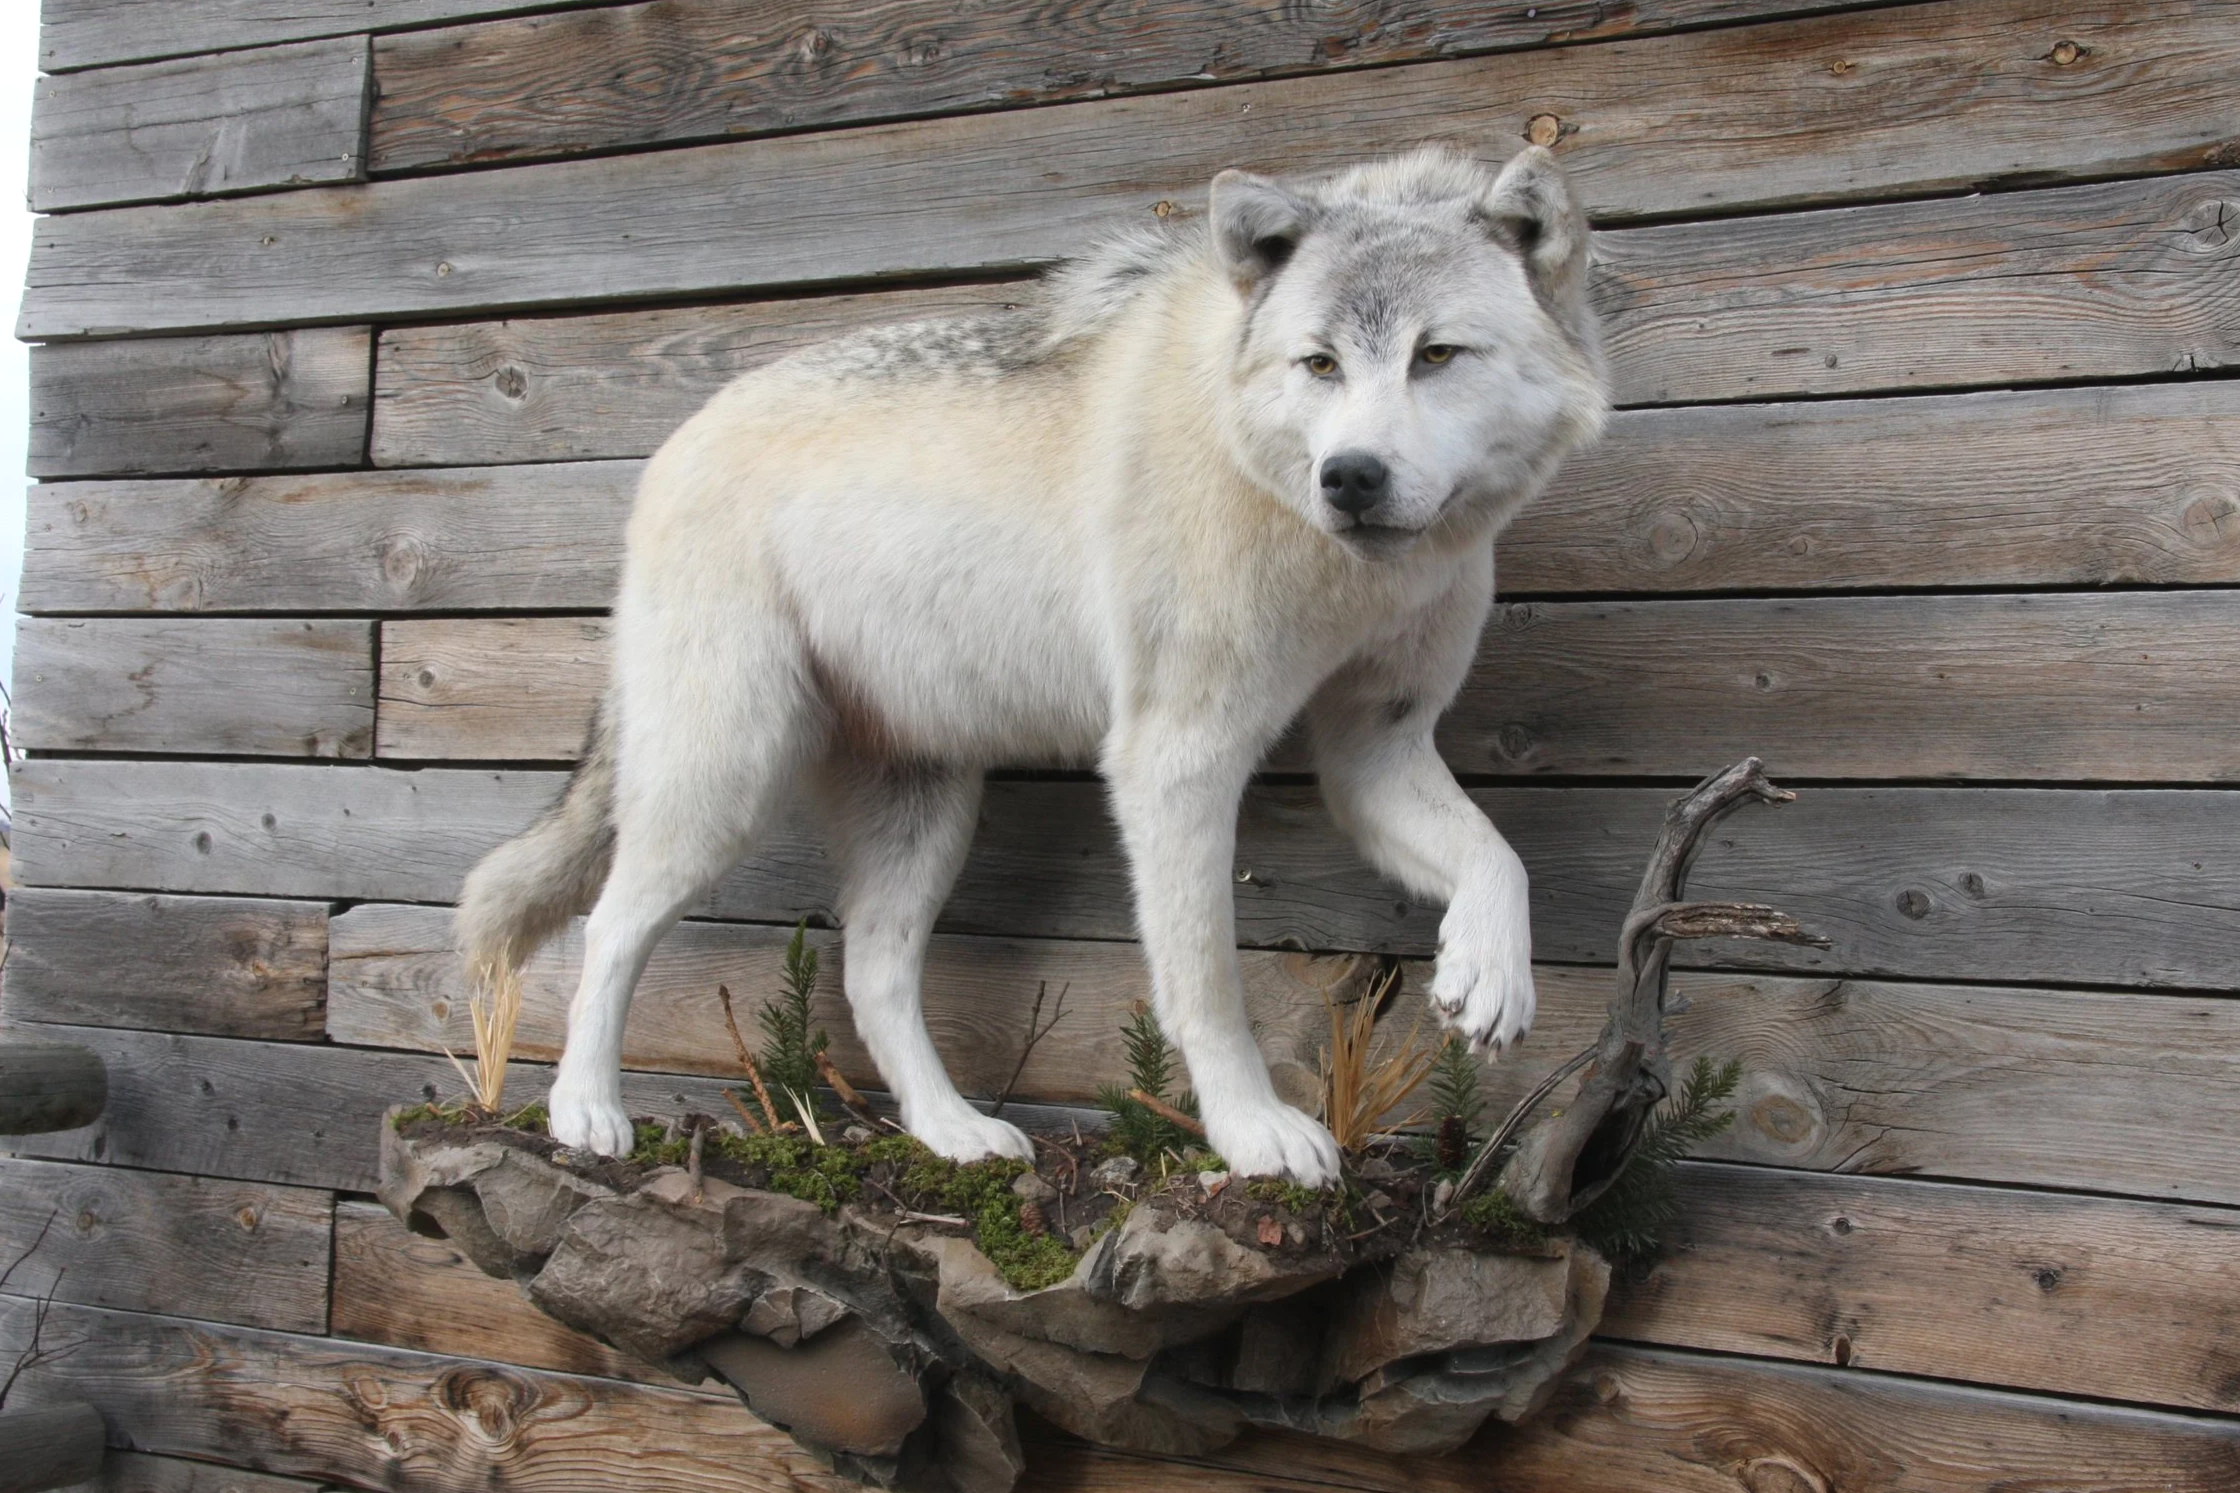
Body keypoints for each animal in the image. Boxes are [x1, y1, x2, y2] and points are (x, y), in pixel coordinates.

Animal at [457, 144, 1608, 1184]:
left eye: (1436, 355)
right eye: (1319, 363)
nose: (1351, 478)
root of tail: (672, 443)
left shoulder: (1378, 748)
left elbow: (1497, 858)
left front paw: (1488, 976)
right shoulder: (1176, 762)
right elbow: (1208, 987)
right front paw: (1252, 1137)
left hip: (922, 808)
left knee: (871, 977)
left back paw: (954, 1133)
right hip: (723, 783)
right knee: (609, 927)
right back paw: (585, 1113)